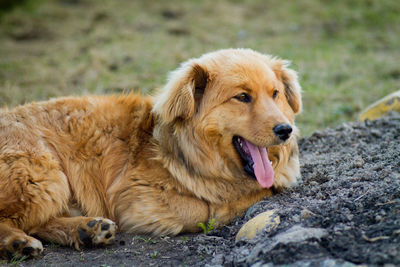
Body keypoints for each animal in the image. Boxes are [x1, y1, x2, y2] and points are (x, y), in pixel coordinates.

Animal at [0, 48, 302, 260]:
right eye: (242, 97)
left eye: (275, 93)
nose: (285, 130)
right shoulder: (135, 198)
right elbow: (205, 208)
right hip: (42, 175)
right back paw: (18, 242)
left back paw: (87, 230)